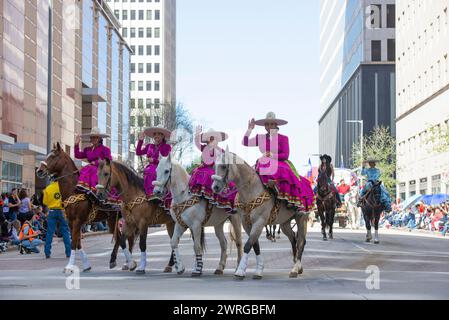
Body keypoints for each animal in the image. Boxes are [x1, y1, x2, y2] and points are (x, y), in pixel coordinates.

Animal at [35, 144, 133, 272]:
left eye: (53, 156)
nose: (39, 171)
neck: (74, 190)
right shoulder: (71, 222)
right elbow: (77, 243)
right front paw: (86, 265)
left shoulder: (77, 221)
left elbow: (73, 243)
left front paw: (69, 266)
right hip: (112, 220)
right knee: (119, 238)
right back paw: (117, 261)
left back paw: (128, 262)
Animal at [209, 149, 308, 278]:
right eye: (214, 166)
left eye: (224, 166)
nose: (215, 187)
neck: (251, 189)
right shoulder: (246, 223)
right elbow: (254, 244)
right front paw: (259, 269)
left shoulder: (259, 221)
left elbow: (248, 244)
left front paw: (240, 271)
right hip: (285, 223)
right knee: (294, 240)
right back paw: (298, 266)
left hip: (301, 218)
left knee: (300, 241)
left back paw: (295, 269)